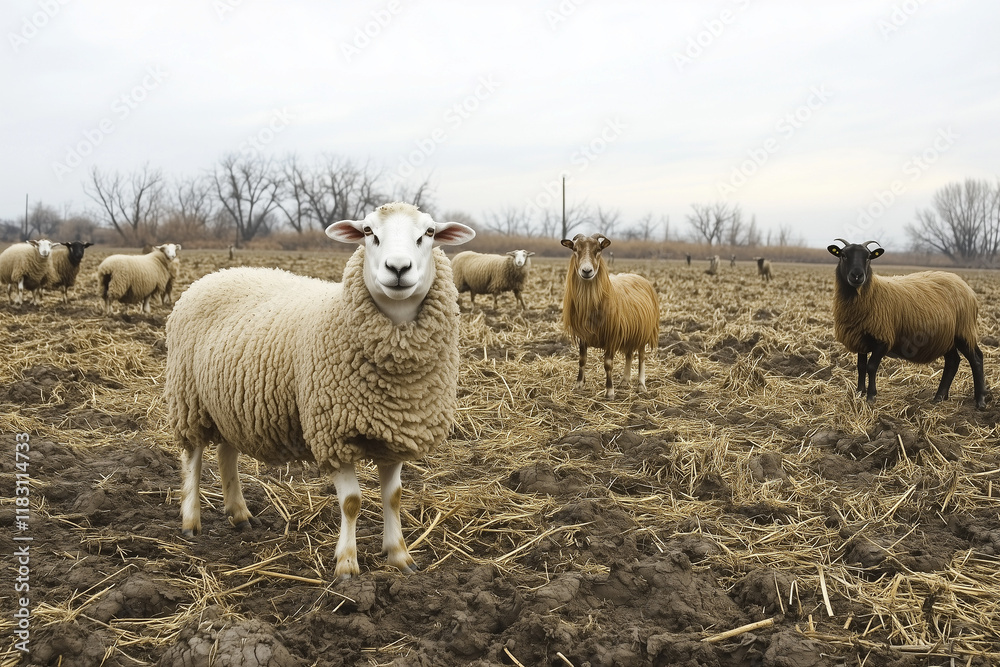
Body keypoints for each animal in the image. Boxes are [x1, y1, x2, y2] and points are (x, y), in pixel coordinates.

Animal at [165, 203, 476, 579]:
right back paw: (190, 522)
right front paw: (347, 564)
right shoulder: (332, 434)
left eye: (428, 233)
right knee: (192, 458)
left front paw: (400, 556)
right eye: (368, 231)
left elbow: (394, 496)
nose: (398, 268)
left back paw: (239, 514)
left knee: (227, 453)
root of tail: (217, 274)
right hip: (188, 398)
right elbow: (352, 502)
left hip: (229, 404)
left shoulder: (398, 431)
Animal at [561, 233, 660, 399]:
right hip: (630, 332)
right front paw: (579, 385)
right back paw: (625, 381)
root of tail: (640, 278)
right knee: (629, 355)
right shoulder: (583, 334)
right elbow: (582, 360)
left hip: (643, 332)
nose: (586, 271)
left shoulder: (612, 335)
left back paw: (641, 385)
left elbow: (608, 364)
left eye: (598, 250)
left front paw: (610, 391)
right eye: (575, 249)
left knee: (641, 357)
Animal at [828, 239, 986, 408]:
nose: (857, 276)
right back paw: (939, 397)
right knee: (952, 362)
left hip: (963, 331)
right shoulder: (860, 339)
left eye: (869, 257)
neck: (869, 293)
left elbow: (871, 367)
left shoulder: (883, 340)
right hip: (946, 337)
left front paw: (871, 397)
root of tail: (965, 286)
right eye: (843, 255)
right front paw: (859, 393)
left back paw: (980, 401)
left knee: (976, 359)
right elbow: (861, 367)